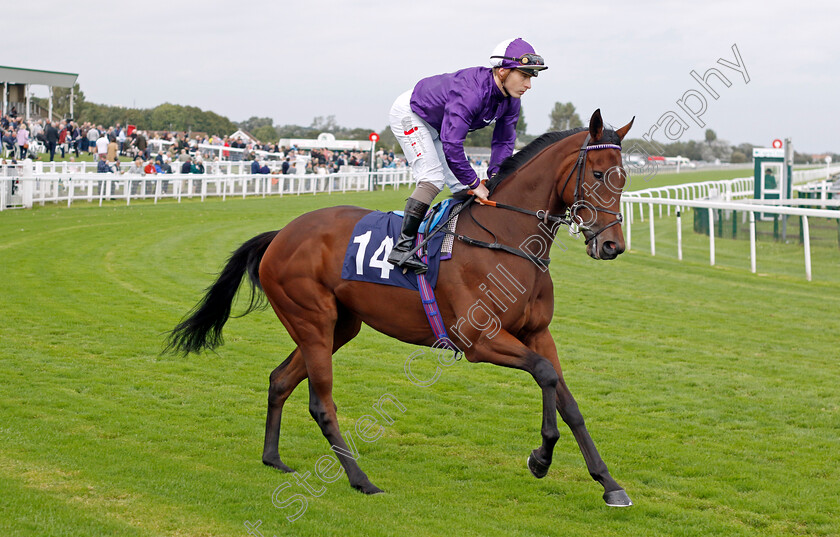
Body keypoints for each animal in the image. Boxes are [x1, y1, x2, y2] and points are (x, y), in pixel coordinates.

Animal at [164, 110, 636, 506]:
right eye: (598, 174)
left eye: (624, 176)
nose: (612, 245)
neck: (505, 238)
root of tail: (281, 234)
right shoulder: (480, 340)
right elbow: (544, 374)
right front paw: (540, 457)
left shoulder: (537, 332)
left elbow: (566, 397)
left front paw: (608, 483)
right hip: (312, 319)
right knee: (321, 404)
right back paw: (361, 480)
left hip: (339, 327)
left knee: (280, 379)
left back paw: (273, 457)